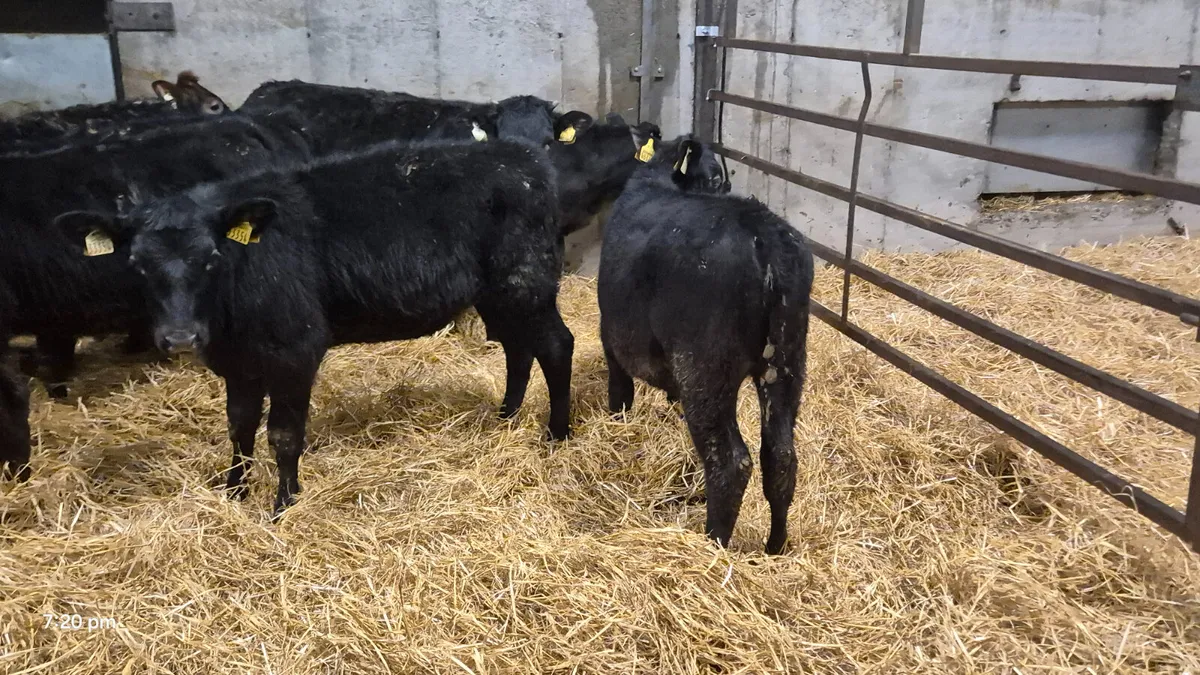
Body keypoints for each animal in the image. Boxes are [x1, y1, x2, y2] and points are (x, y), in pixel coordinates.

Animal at [53, 138, 575, 515]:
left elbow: (283, 435)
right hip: (498, 293)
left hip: (525, 281)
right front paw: (234, 492)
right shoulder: (238, 362)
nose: (181, 337)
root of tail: (523, 156)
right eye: (137, 264)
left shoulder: (295, 349)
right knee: (517, 348)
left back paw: (557, 435)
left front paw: (283, 505)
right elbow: (239, 427)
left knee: (555, 345)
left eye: (212, 258)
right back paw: (505, 418)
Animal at [598, 135, 813, 555]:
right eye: (716, 177)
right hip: (787, 361)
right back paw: (775, 547)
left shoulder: (611, 339)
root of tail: (765, 235)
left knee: (729, 463)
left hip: (706, 367)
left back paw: (713, 544)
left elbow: (620, 393)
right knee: (780, 456)